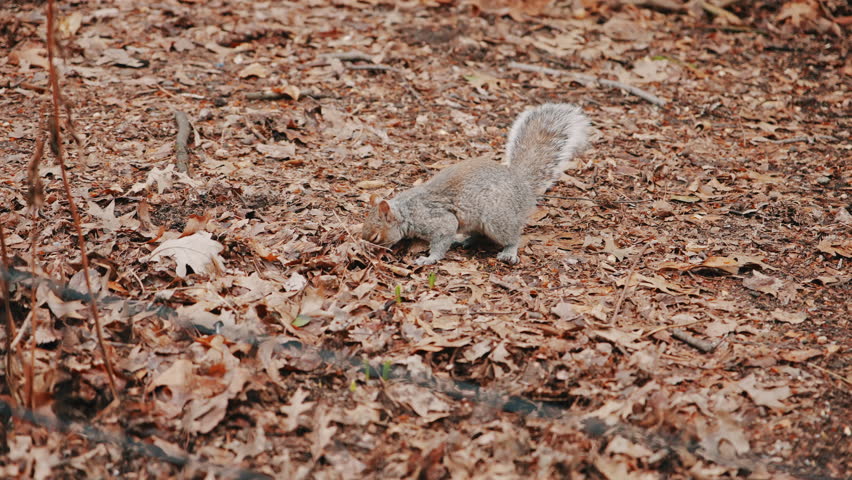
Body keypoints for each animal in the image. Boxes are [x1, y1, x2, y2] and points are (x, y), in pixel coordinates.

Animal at [362, 103, 589, 265]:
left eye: (375, 236)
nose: (369, 252)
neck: (406, 210)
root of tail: (522, 185)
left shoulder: (436, 219)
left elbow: (441, 239)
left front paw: (428, 259)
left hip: (498, 218)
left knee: (512, 236)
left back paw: (509, 251)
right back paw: (463, 240)